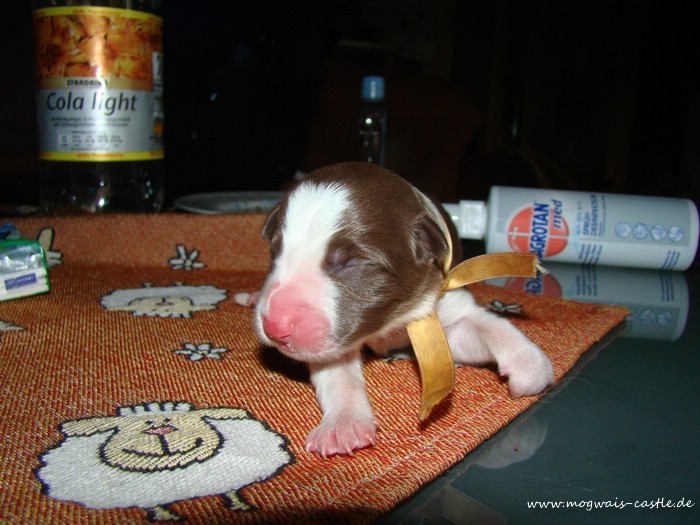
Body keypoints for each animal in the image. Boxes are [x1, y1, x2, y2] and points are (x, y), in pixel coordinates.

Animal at [236, 162, 554, 458]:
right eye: (275, 253)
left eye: (351, 262)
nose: (274, 327)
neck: (386, 322)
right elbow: (338, 376)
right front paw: (343, 424)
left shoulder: (442, 303)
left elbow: (488, 326)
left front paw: (529, 364)